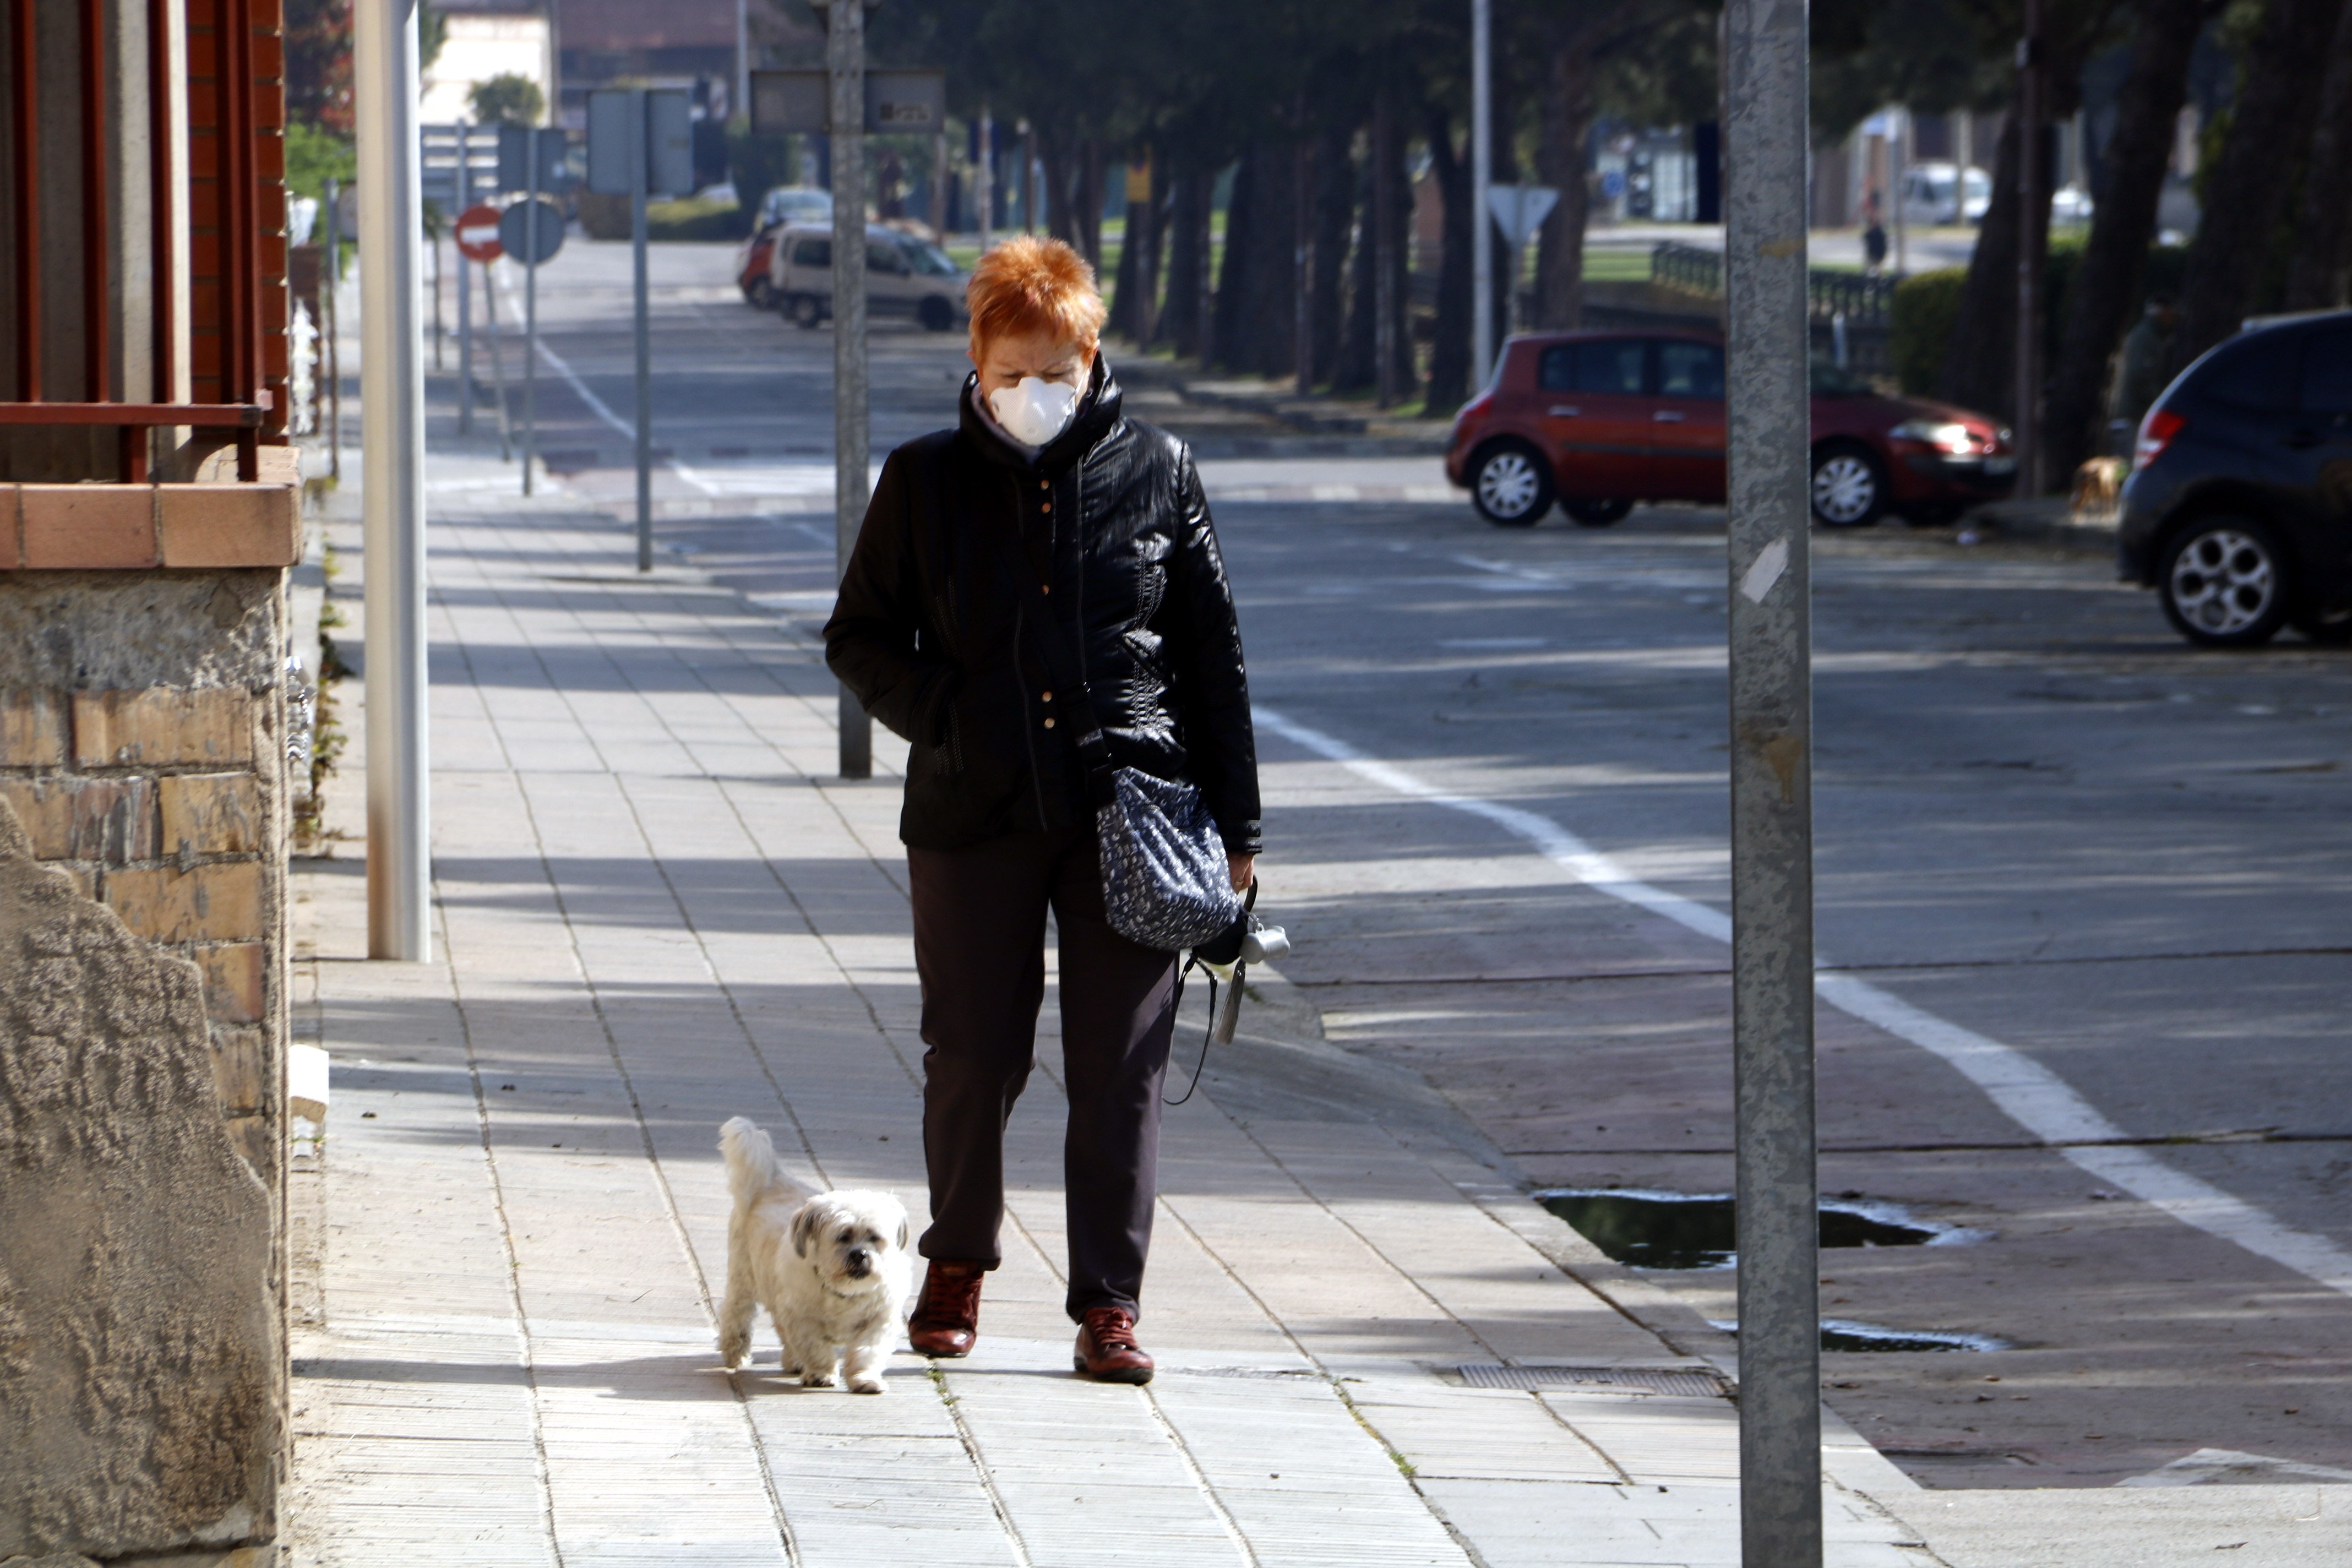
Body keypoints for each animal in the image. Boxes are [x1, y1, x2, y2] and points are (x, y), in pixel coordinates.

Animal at [715, 1114, 907, 1401]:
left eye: (874, 1237)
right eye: (843, 1237)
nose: (860, 1254)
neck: (844, 1292)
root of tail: (773, 1180)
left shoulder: (879, 1320)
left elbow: (866, 1351)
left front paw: (865, 1380)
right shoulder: (801, 1318)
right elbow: (814, 1347)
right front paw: (820, 1374)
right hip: (743, 1277)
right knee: (737, 1314)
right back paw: (736, 1353)